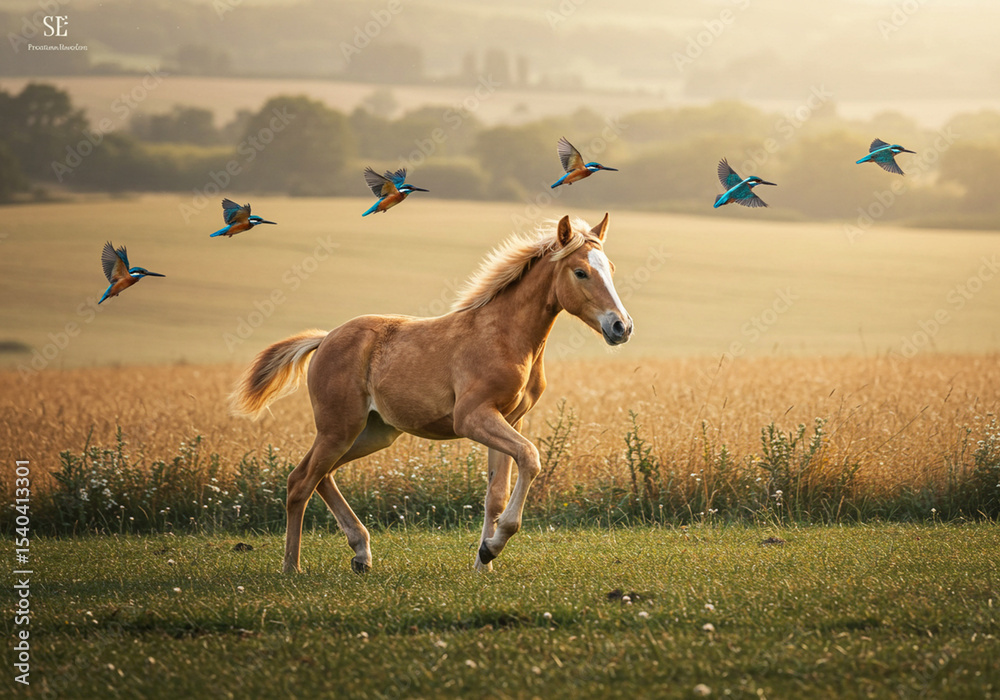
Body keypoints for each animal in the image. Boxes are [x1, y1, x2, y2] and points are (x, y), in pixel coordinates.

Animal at [230, 213, 633, 573]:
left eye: (612, 268)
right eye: (580, 272)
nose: (621, 326)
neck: (506, 336)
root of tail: (325, 338)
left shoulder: (509, 419)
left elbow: (496, 494)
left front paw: (484, 560)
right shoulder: (473, 418)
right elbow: (530, 458)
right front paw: (493, 546)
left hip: (372, 433)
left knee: (319, 475)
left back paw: (361, 554)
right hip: (338, 428)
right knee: (301, 481)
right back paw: (292, 568)